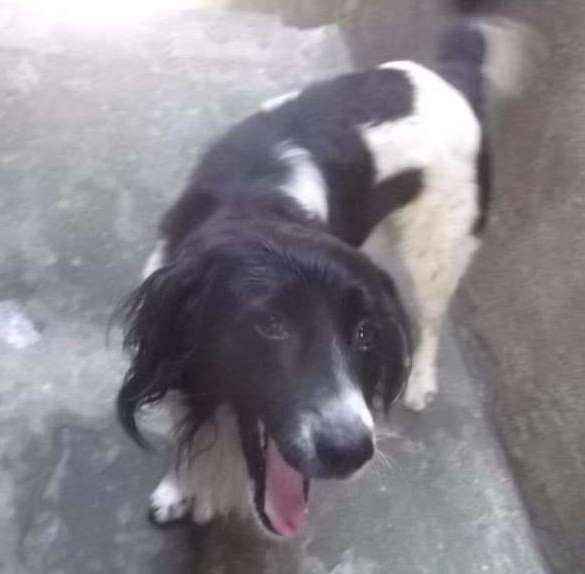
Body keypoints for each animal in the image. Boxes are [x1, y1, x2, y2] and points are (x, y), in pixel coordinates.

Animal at [117, 19, 526, 537]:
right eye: (270, 325)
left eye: (365, 333)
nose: (350, 452)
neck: (253, 206)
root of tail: (449, 73)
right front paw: (177, 488)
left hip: (436, 248)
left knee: (431, 320)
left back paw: (420, 383)